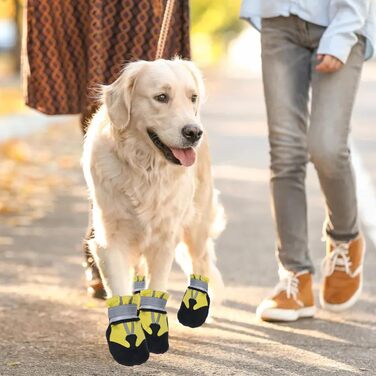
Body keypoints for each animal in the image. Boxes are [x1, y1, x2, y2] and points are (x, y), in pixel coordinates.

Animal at [81, 58, 225, 364]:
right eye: (161, 97)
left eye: (192, 97)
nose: (193, 133)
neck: (144, 167)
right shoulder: (110, 240)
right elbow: (120, 286)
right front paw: (128, 338)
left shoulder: (164, 237)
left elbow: (156, 286)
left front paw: (154, 329)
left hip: (197, 221)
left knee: (201, 260)